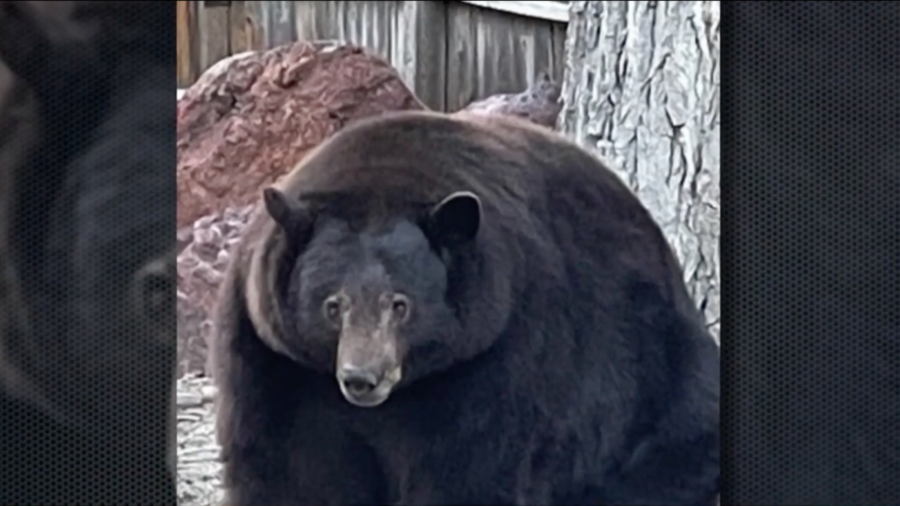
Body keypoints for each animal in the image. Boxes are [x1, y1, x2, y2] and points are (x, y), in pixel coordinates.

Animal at [211, 109, 720, 506]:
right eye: (332, 305)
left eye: (401, 304)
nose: (362, 378)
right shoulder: (277, 362)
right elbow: (290, 468)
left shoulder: (497, 351)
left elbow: (470, 466)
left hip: (653, 372)